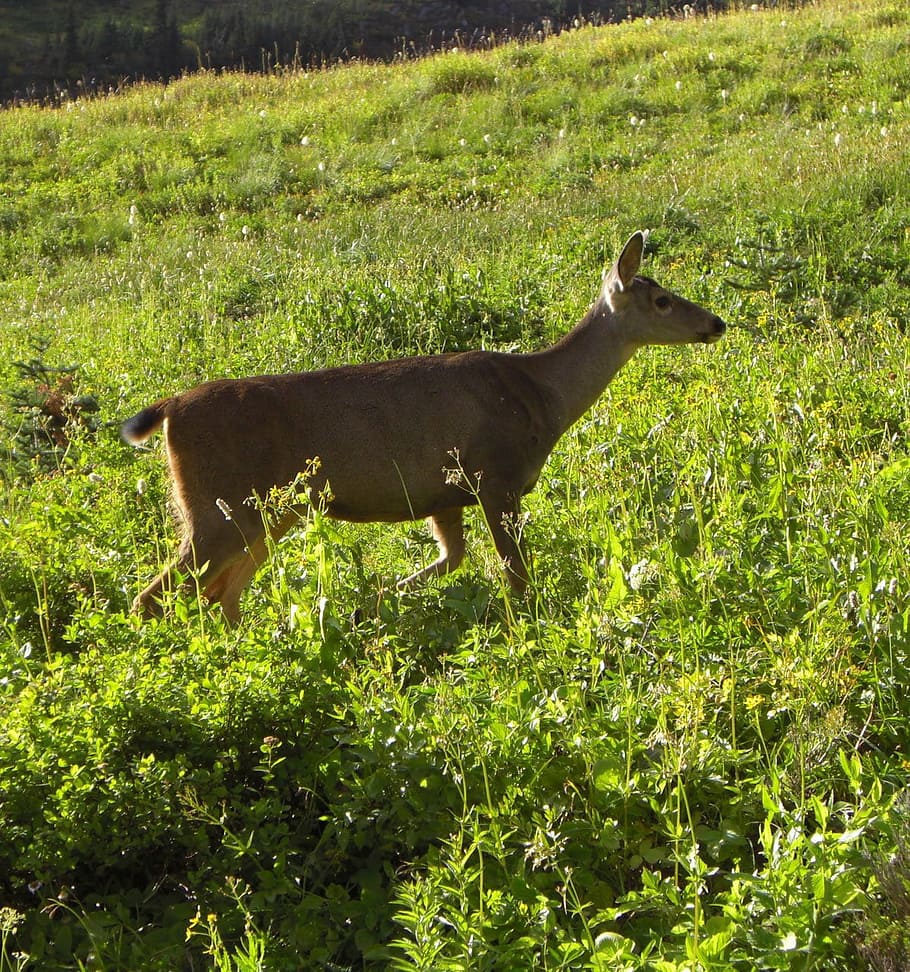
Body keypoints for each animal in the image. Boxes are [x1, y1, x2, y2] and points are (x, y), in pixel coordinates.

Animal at [121, 231, 728, 620]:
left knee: (219, 595)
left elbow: (449, 559)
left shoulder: (443, 496)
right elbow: (516, 576)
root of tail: (169, 408)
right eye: (662, 300)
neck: (541, 397)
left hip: (267, 514)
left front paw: (374, 602)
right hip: (222, 507)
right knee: (154, 596)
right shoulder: (495, 477)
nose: (717, 322)